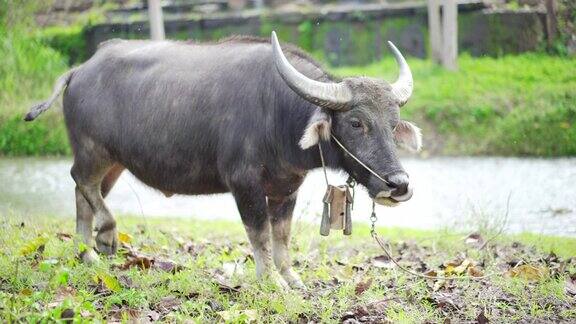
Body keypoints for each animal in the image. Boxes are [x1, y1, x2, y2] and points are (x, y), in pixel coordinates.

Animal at [25, 31, 418, 288]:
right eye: (356, 123)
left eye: (393, 123)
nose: (398, 185)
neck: (277, 112)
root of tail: (79, 70)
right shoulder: (243, 183)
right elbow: (259, 234)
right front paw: (269, 281)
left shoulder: (286, 189)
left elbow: (282, 235)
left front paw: (290, 278)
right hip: (93, 150)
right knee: (81, 181)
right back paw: (105, 236)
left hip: (115, 162)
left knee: (84, 193)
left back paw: (85, 254)